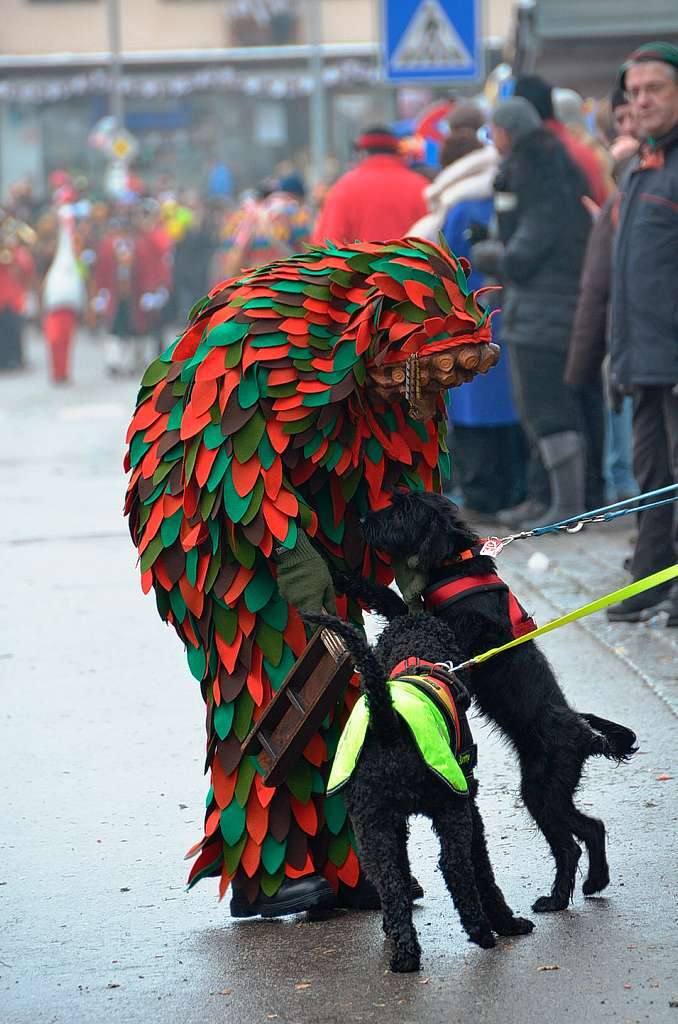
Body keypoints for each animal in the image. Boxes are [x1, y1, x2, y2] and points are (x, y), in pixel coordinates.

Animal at [303, 610, 536, 970]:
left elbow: (399, 870)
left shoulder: (393, 824)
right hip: (451, 808)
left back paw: (404, 952)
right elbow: (482, 867)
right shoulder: (467, 801)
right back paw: (482, 931)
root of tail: (387, 726)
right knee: (455, 866)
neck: (416, 658)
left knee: (389, 879)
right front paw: (507, 923)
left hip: (371, 828)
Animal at [348, 491, 639, 917]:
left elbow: (400, 607)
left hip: (541, 789)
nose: (363, 520)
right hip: (552, 790)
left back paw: (555, 899)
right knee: (591, 827)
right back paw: (595, 881)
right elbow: (394, 603)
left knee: (569, 846)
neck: (456, 560)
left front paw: (346, 576)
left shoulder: (453, 631)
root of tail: (585, 735)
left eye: (402, 509)